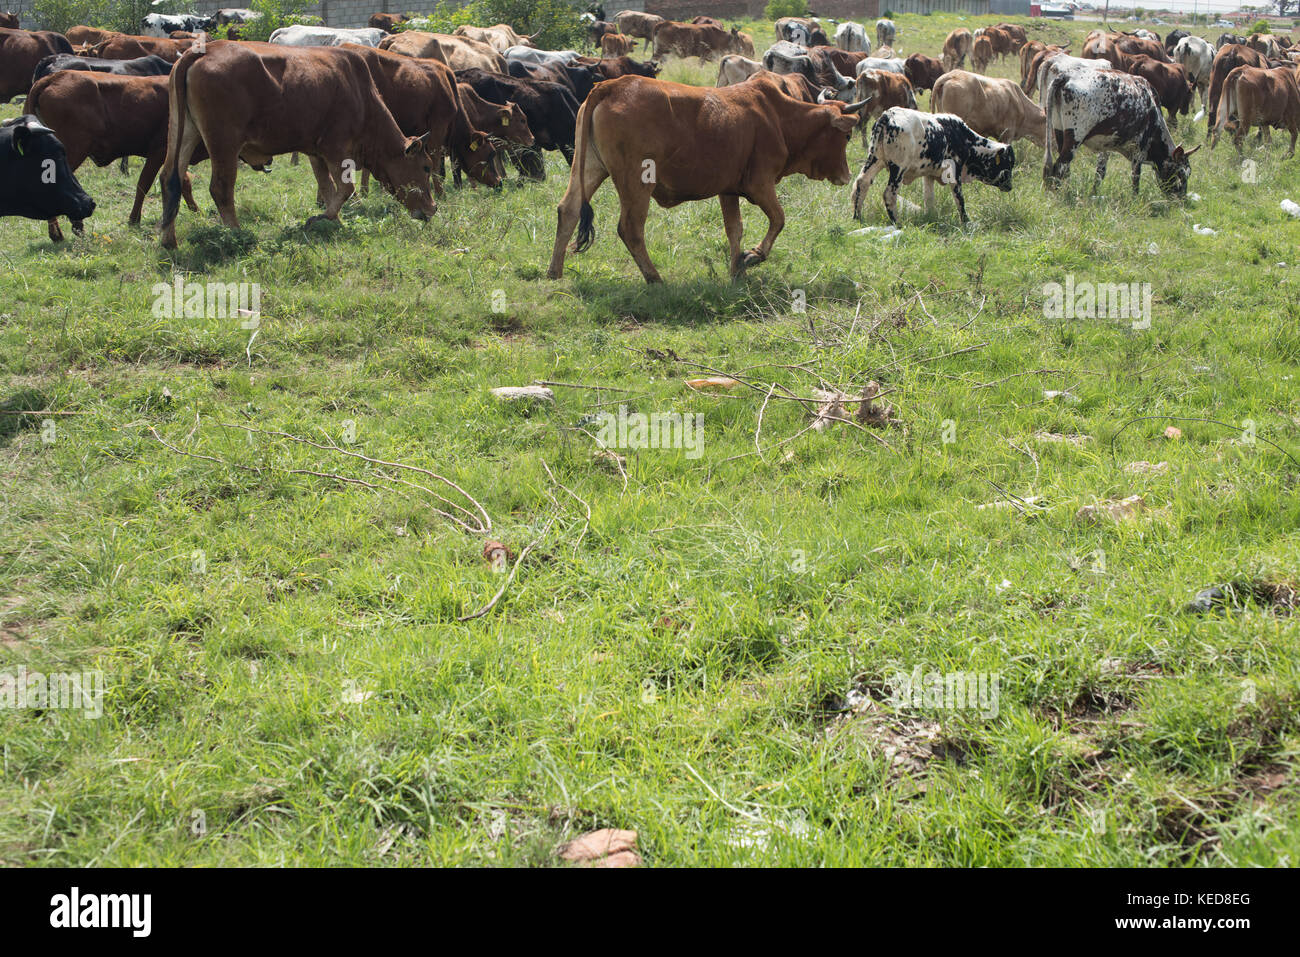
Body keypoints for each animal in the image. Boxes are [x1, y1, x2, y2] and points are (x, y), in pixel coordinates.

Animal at [26, 68, 204, 237]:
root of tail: (54, 77)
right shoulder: (159, 152)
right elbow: (143, 185)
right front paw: (134, 219)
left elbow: (183, 183)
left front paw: (196, 211)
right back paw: (60, 231)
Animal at [158, 41, 436, 250]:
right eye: (426, 167)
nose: (432, 208)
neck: (361, 94)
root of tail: (205, 50)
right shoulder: (336, 149)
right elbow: (345, 188)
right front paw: (321, 218)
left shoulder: (316, 152)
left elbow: (327, 187)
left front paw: (334, 221)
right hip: (224, 143)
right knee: (221, 188)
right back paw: (237, 235)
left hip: (184, 131)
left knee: (170, 178)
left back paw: (168, 241)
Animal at [543, 72, 868, 282]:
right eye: (847, 135)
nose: (845, 175)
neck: (777, 116)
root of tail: (612, 85)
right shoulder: (760, 185)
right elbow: (778, 219)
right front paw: (753, 257)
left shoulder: (728, 190)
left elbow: (734, 229)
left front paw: (736, 269)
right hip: (637, 182)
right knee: (630, 228)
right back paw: (654, 277)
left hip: (590, 166)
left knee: (569, 209)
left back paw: (554, 272)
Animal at [847, 105, 1019, 223]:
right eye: (1008, 164)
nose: (1010, 186)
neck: (964, 139)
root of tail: (888, 115)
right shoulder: (954, 173)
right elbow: (960, 199)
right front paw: (966, 221)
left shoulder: (928, 174)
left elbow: (929, 199)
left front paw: (930, 217)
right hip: (898, 168)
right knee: (889, 193)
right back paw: (897, 222)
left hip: (875, 159)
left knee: (861, 183)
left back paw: (857, 217)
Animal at [1040, 66, 1201, 196]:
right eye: (1180, 173)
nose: (1181, 199)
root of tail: (1067, 76)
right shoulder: (1139, 150)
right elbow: (1135, 178)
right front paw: (1135, 200)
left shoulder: (1105, 146)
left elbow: (1100, 173)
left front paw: (1094, 194)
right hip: (1075, 138)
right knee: (1060, 167)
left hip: (1059, 132)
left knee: (1062, 169)